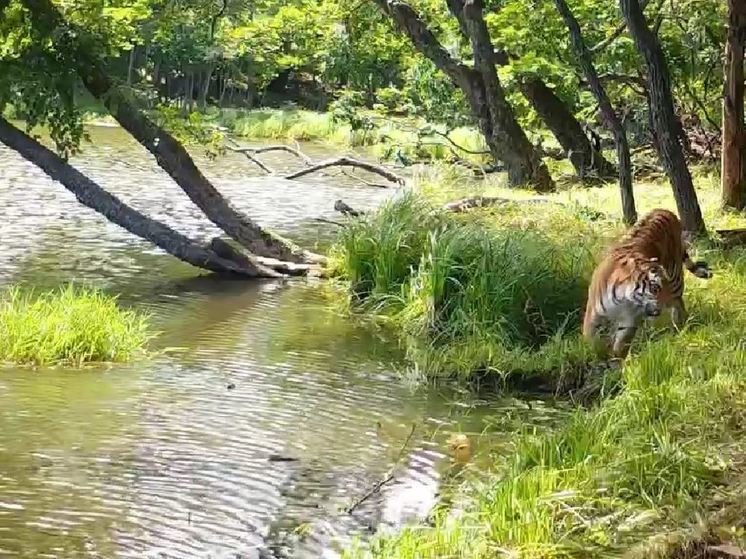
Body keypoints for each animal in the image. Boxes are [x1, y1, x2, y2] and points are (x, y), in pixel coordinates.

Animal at [580, 209, 708, 358]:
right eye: (655, 288)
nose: (663, 305)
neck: (623, 299)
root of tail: (665, 210)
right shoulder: (593, 317)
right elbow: (592, 341)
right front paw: (595, 354)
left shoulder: (628, 320)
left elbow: (621, 343)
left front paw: (618, 358)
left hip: (676, 279)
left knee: (678, 304)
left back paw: (681, 326)